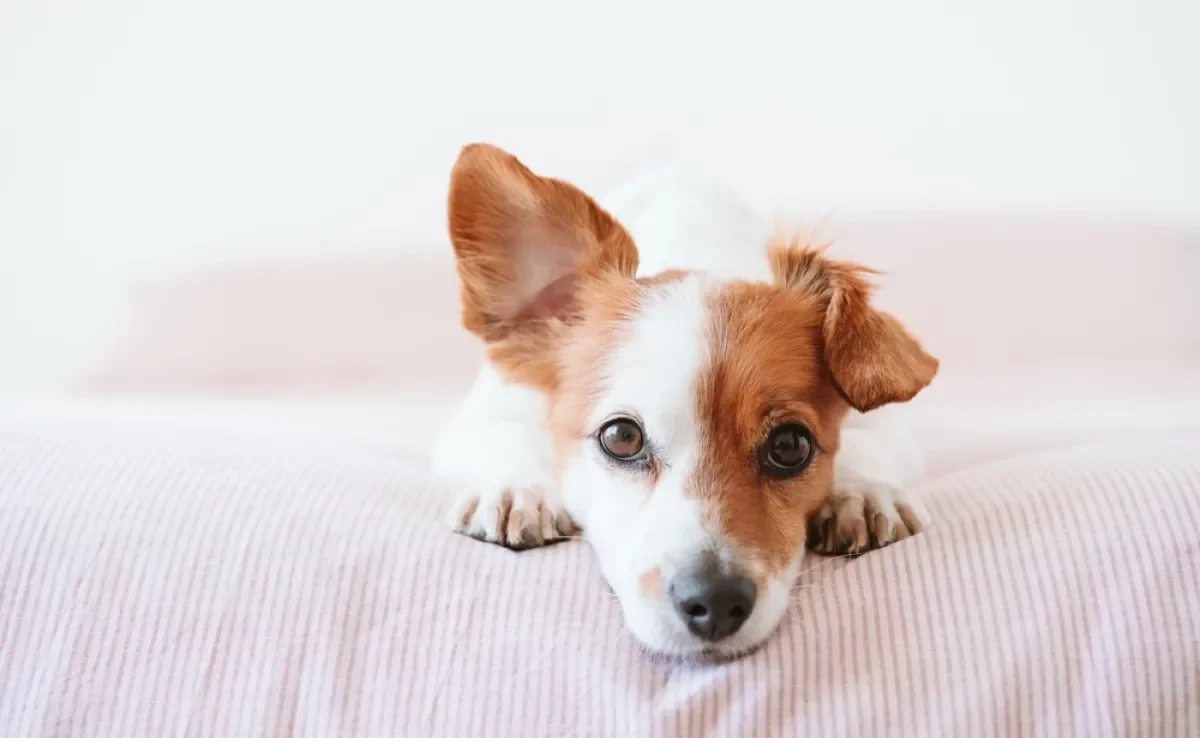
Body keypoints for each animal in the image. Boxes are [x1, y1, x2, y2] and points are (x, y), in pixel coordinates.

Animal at [432, 142, 936, 657]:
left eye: (790, 446)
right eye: (621, 437)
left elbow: (869, 448)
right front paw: (518, 489)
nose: (715, 602)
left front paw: (862, 491)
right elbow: (506, 438)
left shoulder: (886, 425)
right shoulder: (478, 418)